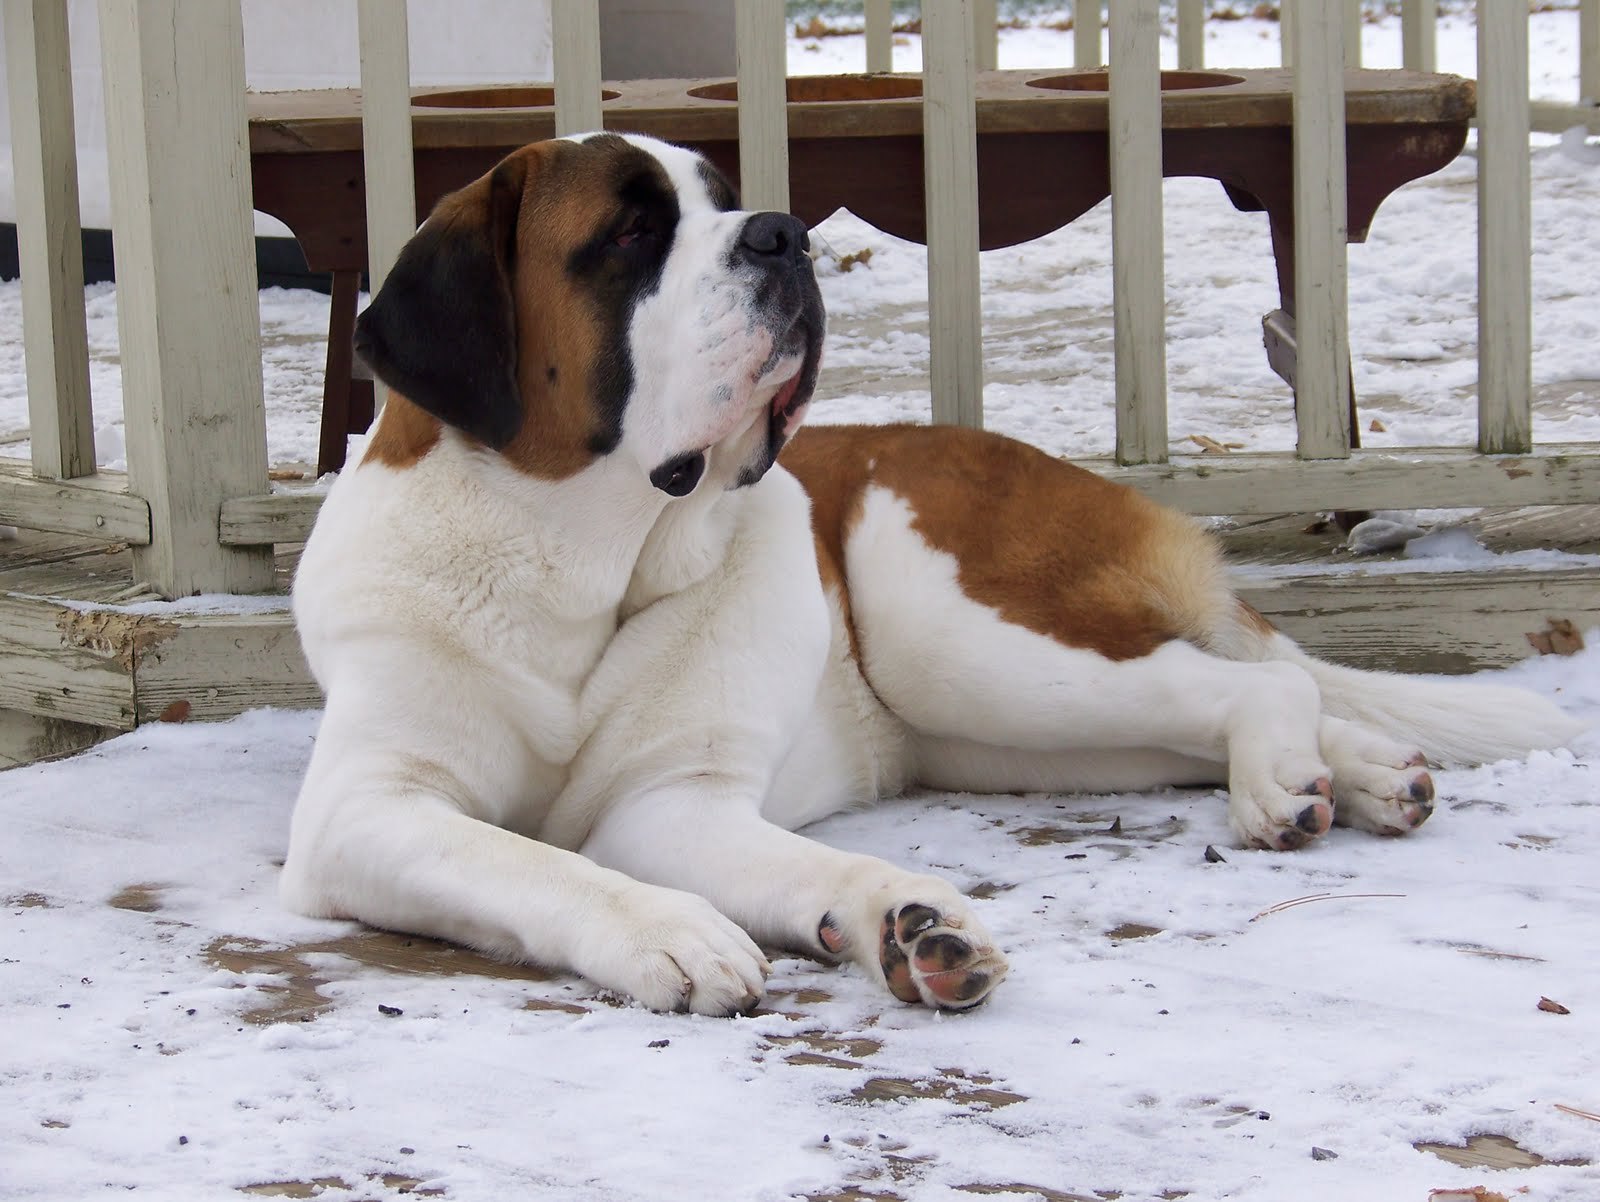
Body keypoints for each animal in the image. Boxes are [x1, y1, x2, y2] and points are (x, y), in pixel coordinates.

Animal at [281, 131, 1580, 1017]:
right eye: (631, 234)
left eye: (723, 202)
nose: (782, 232)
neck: (577, 563)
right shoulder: (373, 807)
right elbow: (531, 858)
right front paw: (775, 926)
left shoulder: (670, 790)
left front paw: (900, 919)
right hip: (996, 726)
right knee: (1243, 698)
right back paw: (1357, 772)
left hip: (956, 635)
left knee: (1248, 682)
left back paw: (1285, 779)